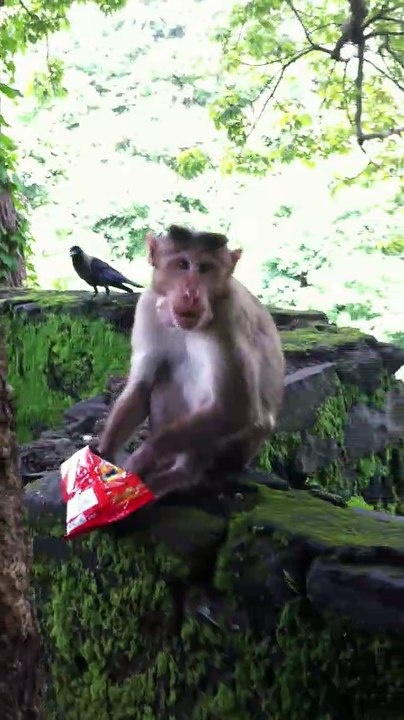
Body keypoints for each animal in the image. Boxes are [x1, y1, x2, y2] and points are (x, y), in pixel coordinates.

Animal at [98, 224, 285, 499]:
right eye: (182, 264)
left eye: (205, 268)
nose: (191, 294)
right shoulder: (147, 305)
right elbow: (142, 384)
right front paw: (104, 454)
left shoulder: (228, 318)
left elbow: (234, 407)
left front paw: (144, 457)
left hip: (236, 452)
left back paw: (182, 474)